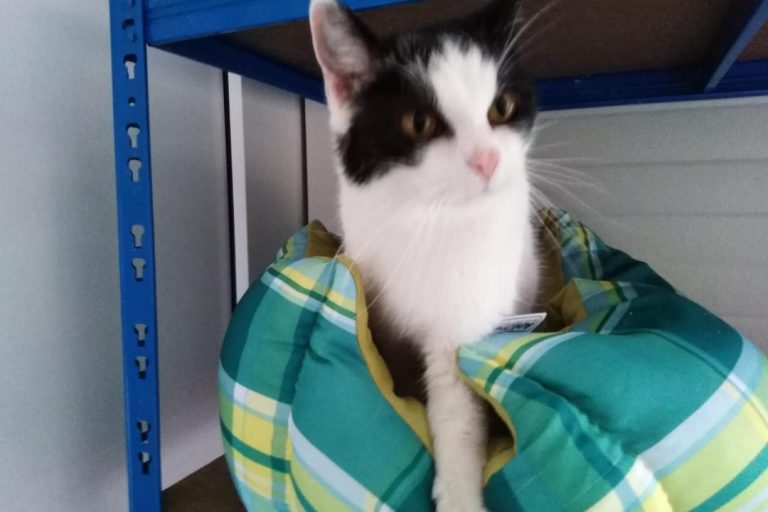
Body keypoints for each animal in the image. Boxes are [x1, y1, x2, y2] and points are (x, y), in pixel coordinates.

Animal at [309, 1, 540, 510]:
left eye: (501, 107)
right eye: (419, 123)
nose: (488, 160)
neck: (425, 218)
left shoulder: (463, 318)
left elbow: (456, 408)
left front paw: (458, 494)